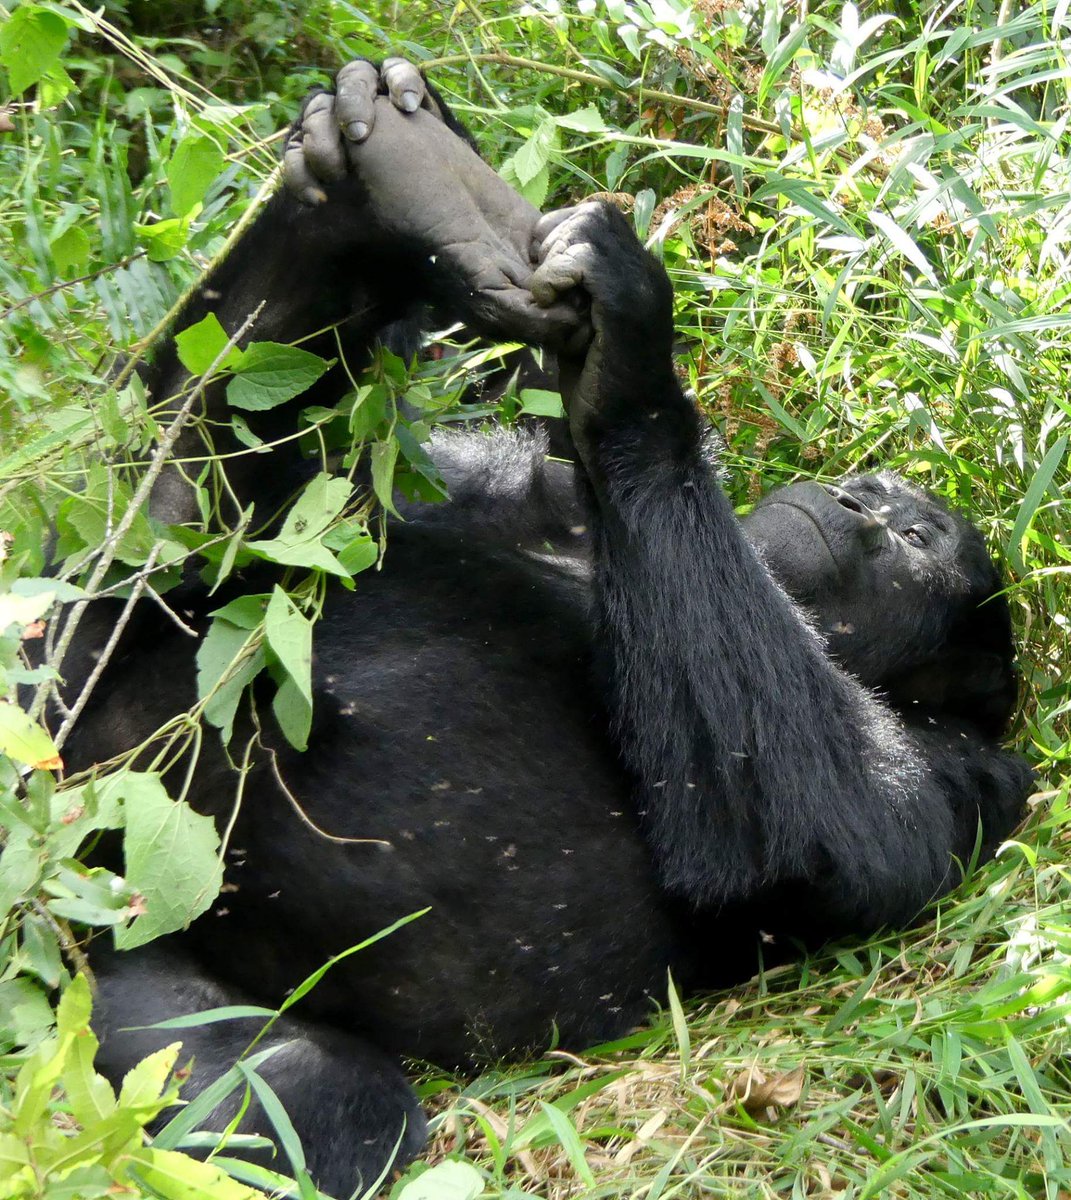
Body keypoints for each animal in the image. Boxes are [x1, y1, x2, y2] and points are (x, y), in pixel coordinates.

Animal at [54, 58, 1032, 1200]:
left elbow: (823, 821)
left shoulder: (973, 777)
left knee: (310, 1095)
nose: (852, 502)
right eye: (876, 495)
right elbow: (301, 511)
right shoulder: (516, 482)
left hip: (109, 927)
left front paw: (631, 355)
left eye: (913, 538)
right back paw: (360, 199)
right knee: (148, 555)